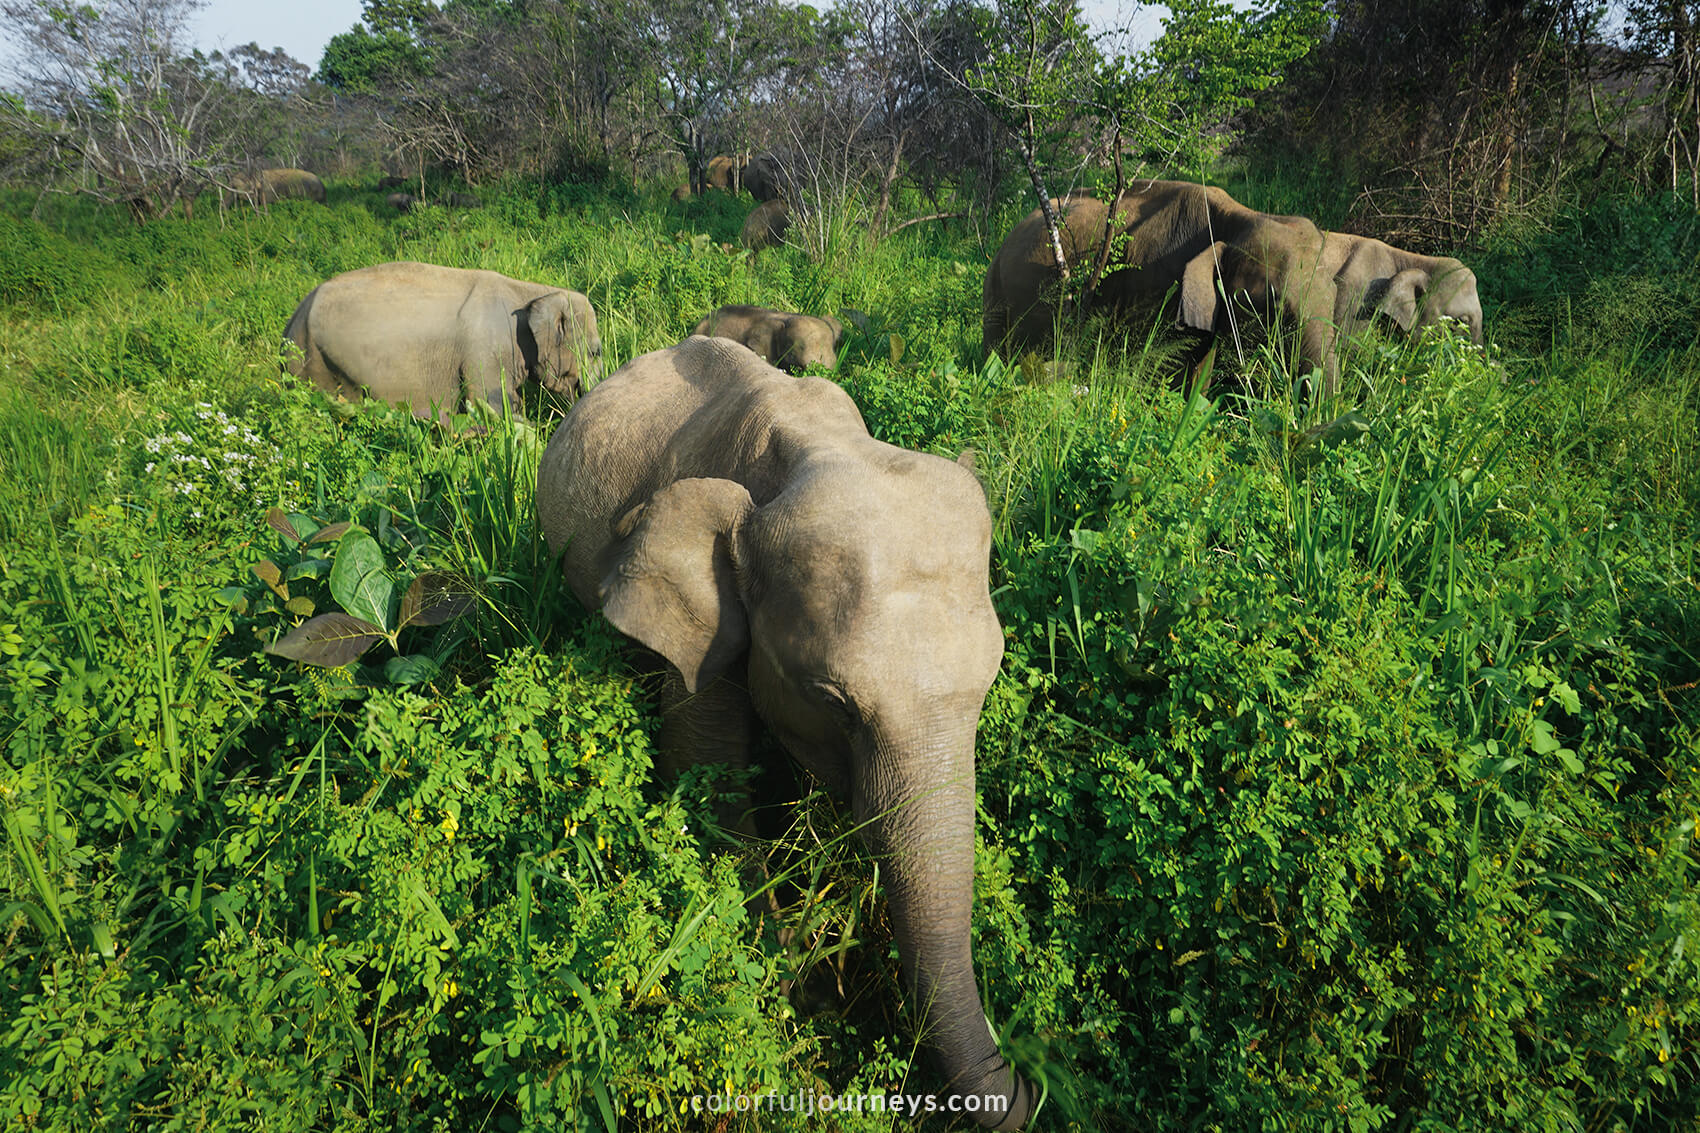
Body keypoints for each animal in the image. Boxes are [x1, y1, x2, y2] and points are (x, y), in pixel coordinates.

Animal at [283, 261, 601, 423]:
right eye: (596, 352)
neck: (530, 290)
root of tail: (293, 318)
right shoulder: (483, 351)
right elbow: (493, 405)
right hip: (312, 364)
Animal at [535, 335, 1034, 1130]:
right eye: (834, 701)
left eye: (988, 684)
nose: (1021, 1089)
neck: (818, 443)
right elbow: (705, 764)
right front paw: (795, 976)